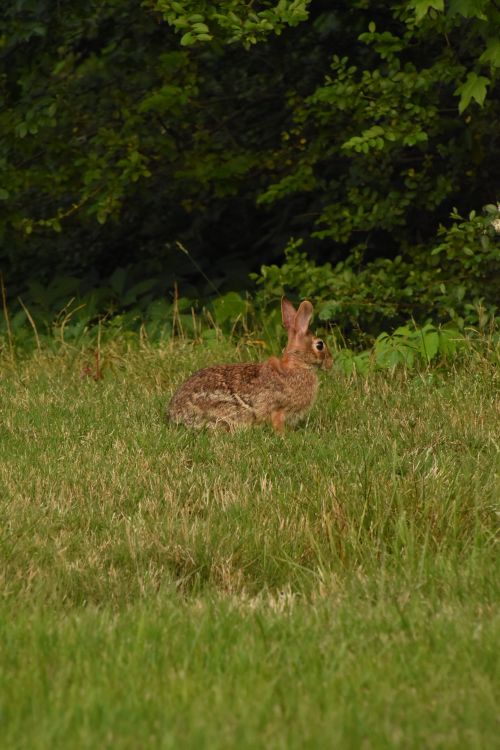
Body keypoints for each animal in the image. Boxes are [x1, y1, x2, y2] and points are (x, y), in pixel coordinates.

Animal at [168, 298, 332, 432]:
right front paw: (284, 436)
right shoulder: (278, 409)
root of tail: (175, 414)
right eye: (320, 345)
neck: (297, 364)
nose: (331, 363)